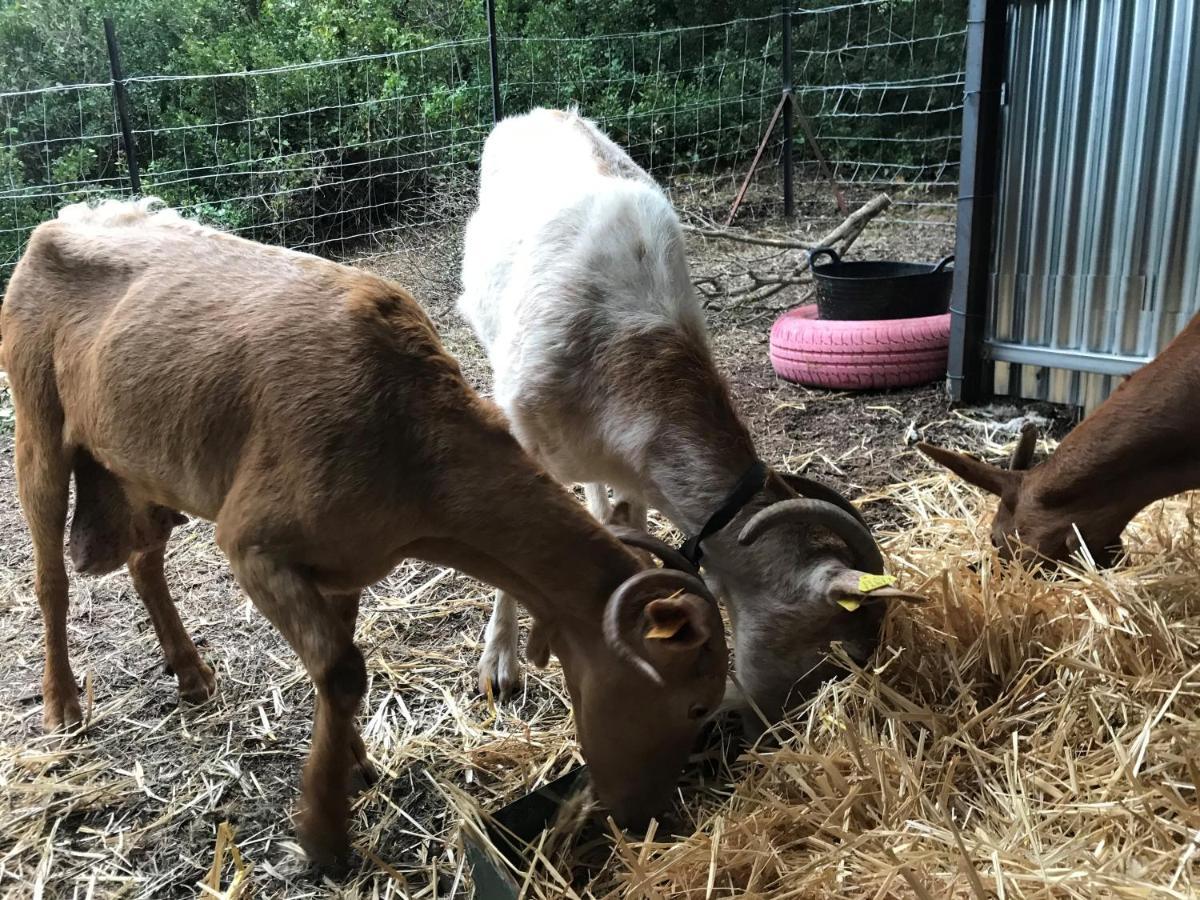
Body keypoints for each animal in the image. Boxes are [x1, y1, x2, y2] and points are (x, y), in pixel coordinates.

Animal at [4, 199, 724, 868]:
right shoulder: (252, 543)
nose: (647, 815)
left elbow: (336, 660)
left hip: (139, 463)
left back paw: (191, 672)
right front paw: (324, 831)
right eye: (695, 707)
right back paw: (63, 704)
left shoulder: (347, 561)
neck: (409, 445)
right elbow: (343, 668)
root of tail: (57, 222)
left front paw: (352, 767)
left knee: (144, 556)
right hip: (37, 422)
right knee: (50, 575)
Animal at [456, 111, 916, 734]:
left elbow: (630, 528)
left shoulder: (634, 465)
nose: (763, 726)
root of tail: (536, 114)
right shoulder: (523, 431)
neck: (623, 344)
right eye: (840, 649)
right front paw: (499, 668)